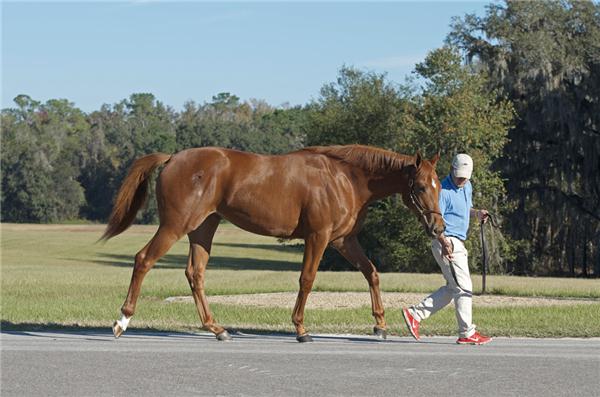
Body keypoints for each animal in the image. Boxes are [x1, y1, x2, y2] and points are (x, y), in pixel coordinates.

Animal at [101, 145, 442, 340]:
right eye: (421, 187)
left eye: (438, 185)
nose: (438, 227)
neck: (345, 178)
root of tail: (172, 158)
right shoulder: (318, 237)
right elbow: (307, 280)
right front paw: (301, 329)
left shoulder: (344, 240)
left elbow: (371, 273)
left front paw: (380, 325)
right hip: (175, 225)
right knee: (144, 259)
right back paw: (122, 322)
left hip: (202, 228)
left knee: (195, 274)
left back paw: (217, 328)